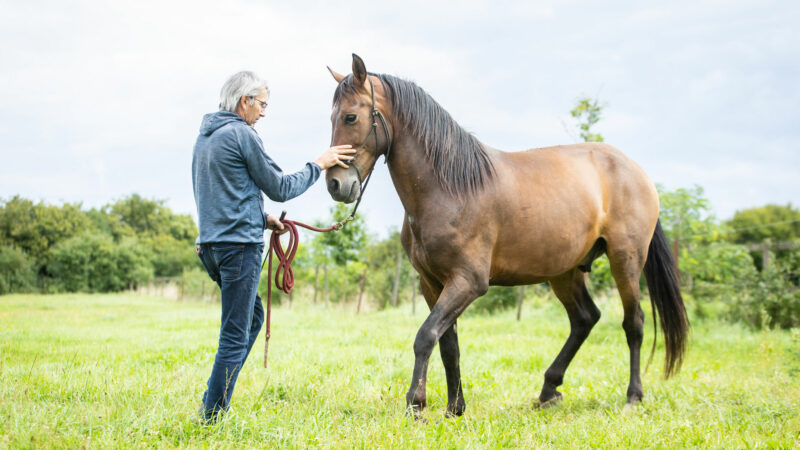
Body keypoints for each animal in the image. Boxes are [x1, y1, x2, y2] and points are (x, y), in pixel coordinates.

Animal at [324, 54, 688, 416]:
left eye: (351, 117)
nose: (335, 184)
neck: (450, 188)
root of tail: (635, 171)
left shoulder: (468, 281)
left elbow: (426, 336)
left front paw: (416, 404)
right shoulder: (432, 283)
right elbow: (448, 345)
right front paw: (455, 408)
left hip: (625, 260)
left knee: (633, 323)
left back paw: (632, 397)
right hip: (565, 271)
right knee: (585, 319)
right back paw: (549, 390)